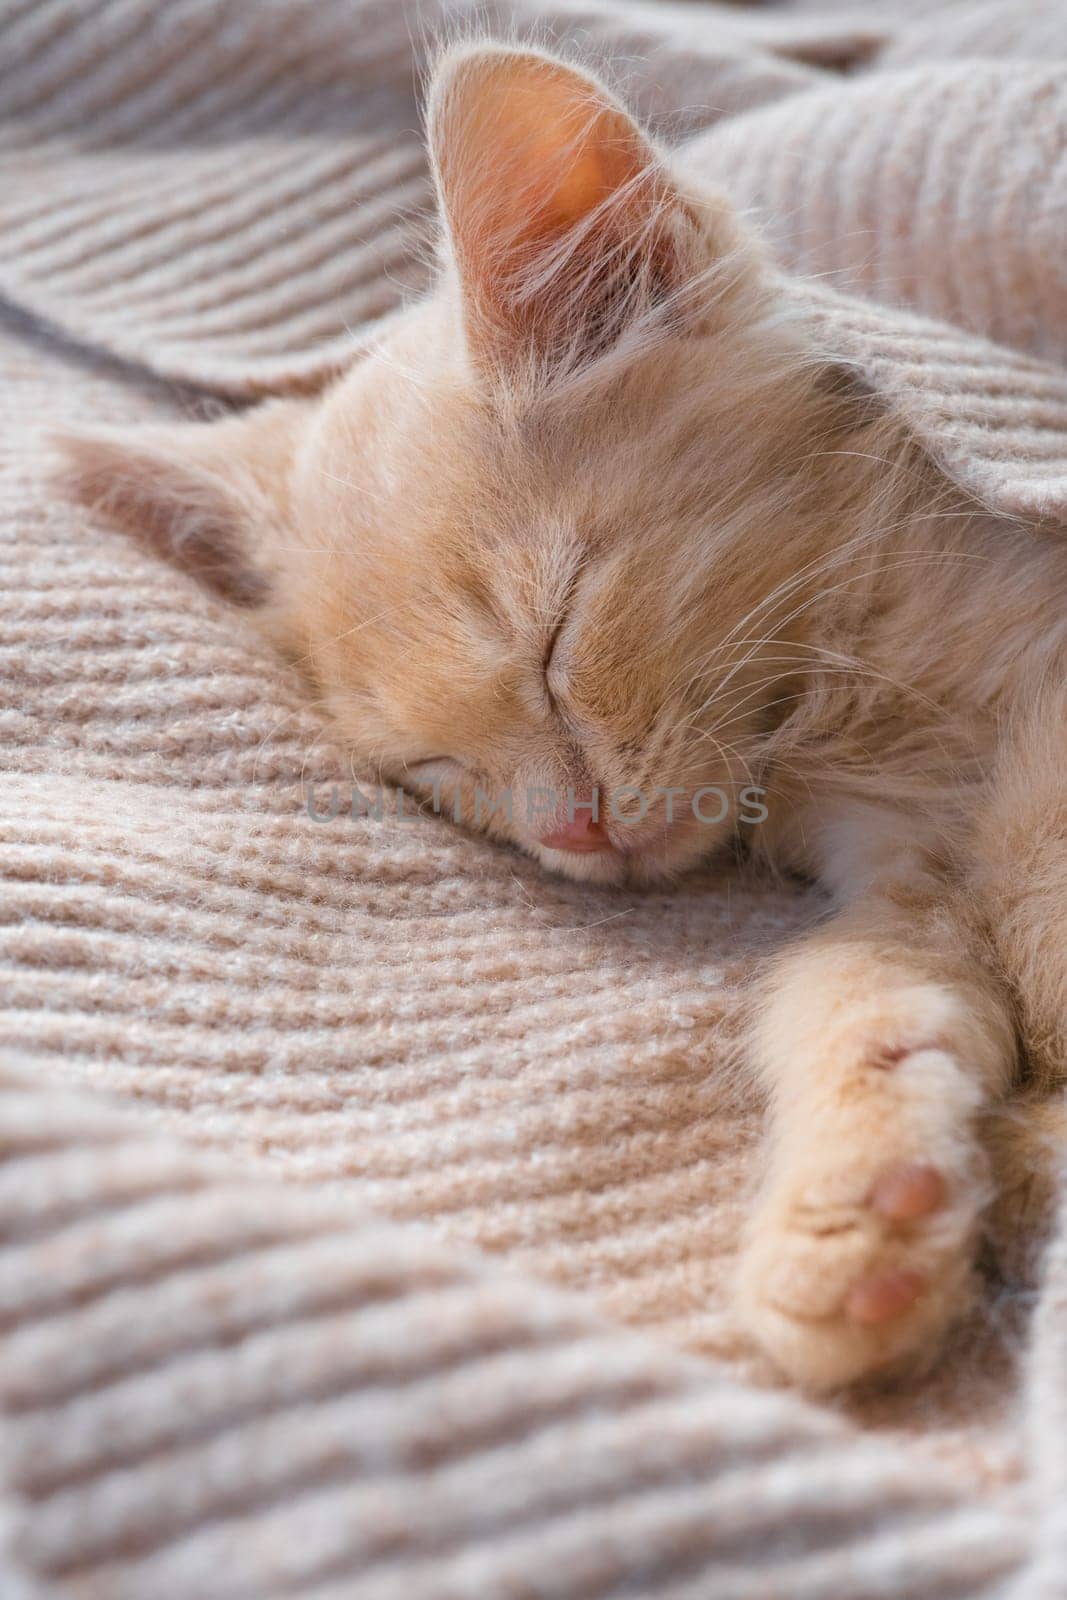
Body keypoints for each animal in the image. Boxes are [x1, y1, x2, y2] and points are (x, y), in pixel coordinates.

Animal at [60, 40, 1067, 1388]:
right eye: (436, 767)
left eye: (556, 642)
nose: (571, 829)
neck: (845, 704)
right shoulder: (904, 868)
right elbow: (851, 986)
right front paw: (857, 1221)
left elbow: (1016, 882)